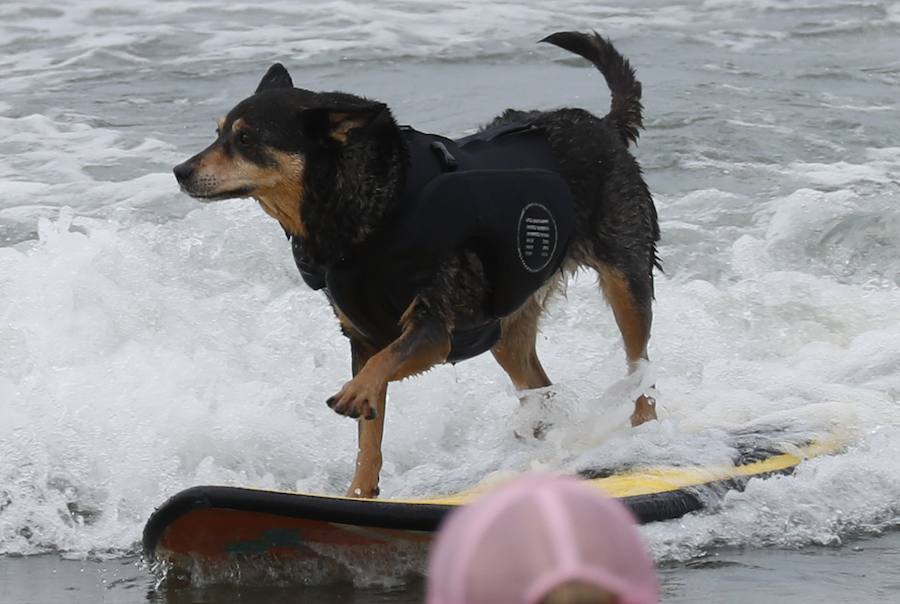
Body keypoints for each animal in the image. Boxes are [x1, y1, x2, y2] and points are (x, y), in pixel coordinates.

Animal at [174, 30, 660, 498]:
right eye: (218, 133)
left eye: (246, 139)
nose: (180, 171)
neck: (370, 211)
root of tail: (604, 126)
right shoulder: (362, 335)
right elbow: (369, 431)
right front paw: (359, 490)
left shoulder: (434, 325)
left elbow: (384, 363)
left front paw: (355, 394)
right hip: (508, 326)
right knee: (537, 381)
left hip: (625, 273)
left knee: (641, 365)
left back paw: (646, 433)